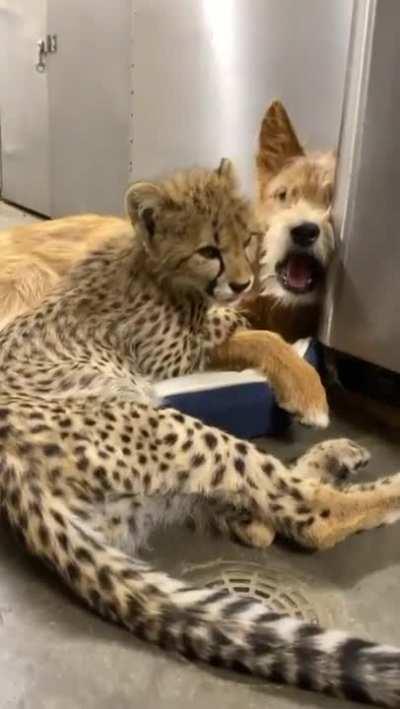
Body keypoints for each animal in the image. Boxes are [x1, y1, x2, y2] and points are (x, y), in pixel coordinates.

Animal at [0, 159, 400, 707]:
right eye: (209, 249)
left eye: (249, 237)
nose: (243, 281)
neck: (154, 268)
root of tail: (16, 482)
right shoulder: (171, 359)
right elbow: (254, 336)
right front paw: (308, 389)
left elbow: (249, 326)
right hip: (175, 429)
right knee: (308, 515)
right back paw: (390, 488)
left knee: (262, 519)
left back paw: (336, 457)